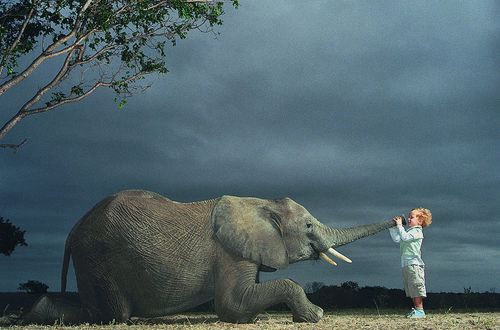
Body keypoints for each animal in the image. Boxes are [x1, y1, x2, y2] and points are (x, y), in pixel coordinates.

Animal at [24, 189, 402, 324]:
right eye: (308, 225)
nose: (403, 216)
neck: (260, 203)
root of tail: (73, 229)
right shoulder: (228, 250)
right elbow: (230, 305)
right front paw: (316, 315)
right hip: (98, 259)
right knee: (110, 314)